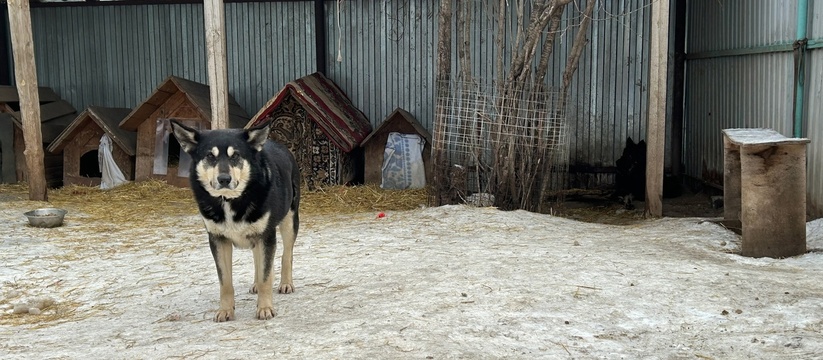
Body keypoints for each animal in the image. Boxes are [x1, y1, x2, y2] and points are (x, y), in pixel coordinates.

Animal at [171, 119, 302, 322]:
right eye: (210, 156)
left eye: (236, 156)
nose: (224, 179)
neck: (229, 200)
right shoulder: (219, 240)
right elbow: (225, 282)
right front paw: (225, 310)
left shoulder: (265, 235)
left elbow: (266, 277)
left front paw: (265, 308)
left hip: (289, 221)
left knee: (286, 255)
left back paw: (286, 283)